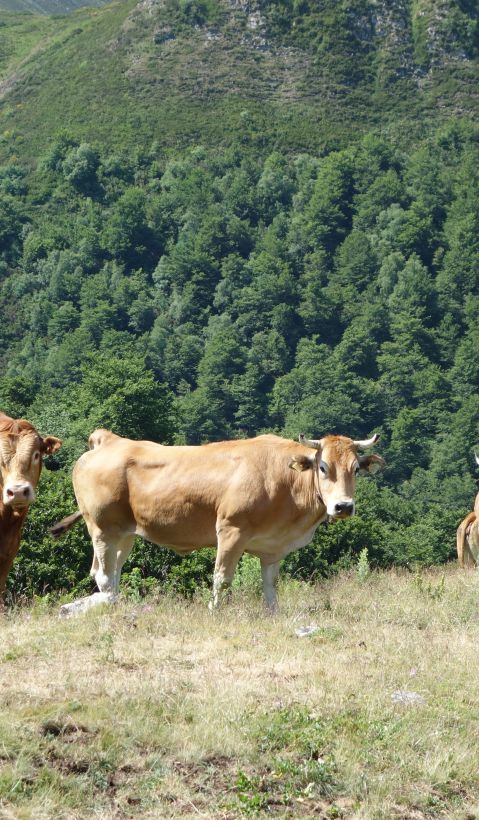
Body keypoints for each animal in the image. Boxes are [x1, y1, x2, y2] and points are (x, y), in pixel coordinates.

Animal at [51, 429, 385, 615]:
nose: (343, 506)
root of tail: (110, 440)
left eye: (356, 469)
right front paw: (215, 611)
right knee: (104, 577)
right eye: (323, 466)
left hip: (124, 533)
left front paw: (273, 614)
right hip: (102, 528)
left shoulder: (272, 546)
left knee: (111, 574)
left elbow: (271, 584)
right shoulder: (231, 530)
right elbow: (222, 578)